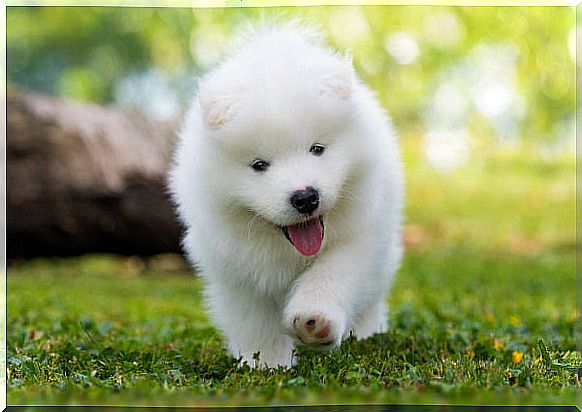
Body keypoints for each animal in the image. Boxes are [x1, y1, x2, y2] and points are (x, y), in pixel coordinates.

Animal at [170, 24, 406, 368]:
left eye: (317, 149)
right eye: (259, 165)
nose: (305, 197)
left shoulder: (362, 234)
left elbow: (334, 273)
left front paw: (315, 320)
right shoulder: (233, 266)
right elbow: (253, 318)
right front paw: (266, 362)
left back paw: (367, 333)